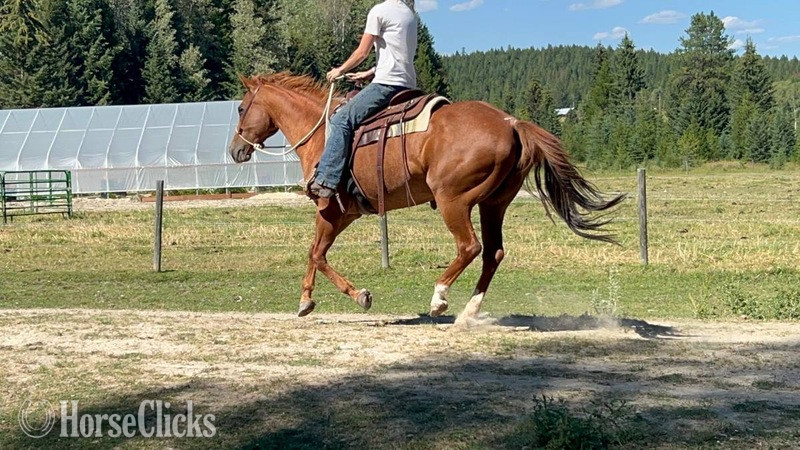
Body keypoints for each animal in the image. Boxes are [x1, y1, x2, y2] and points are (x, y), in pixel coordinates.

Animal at [228, 72, 624, 323]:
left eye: (241, 108)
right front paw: (306, 301)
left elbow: (316, 253)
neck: (324, 132)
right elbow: (315, 252)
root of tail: (511, 123)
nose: (235, 150)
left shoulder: (330, 209)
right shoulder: (343, 213)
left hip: (454, 201)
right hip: (493, 203)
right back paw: (469, 313)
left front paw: (358, 296)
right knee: (493, 253)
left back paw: (439, 299)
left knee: (470, 247)